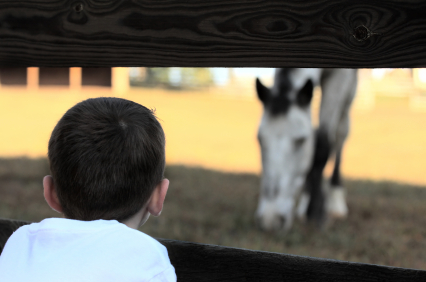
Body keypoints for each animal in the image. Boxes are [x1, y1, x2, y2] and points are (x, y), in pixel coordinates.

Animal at [255, 68, 358, 231]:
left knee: (340, 133)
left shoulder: (341, 76)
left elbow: (323, 143)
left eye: (301, 140)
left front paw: (317, 213)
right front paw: (310, 207)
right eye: (260, 140)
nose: (270, 218)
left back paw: (335, 200)